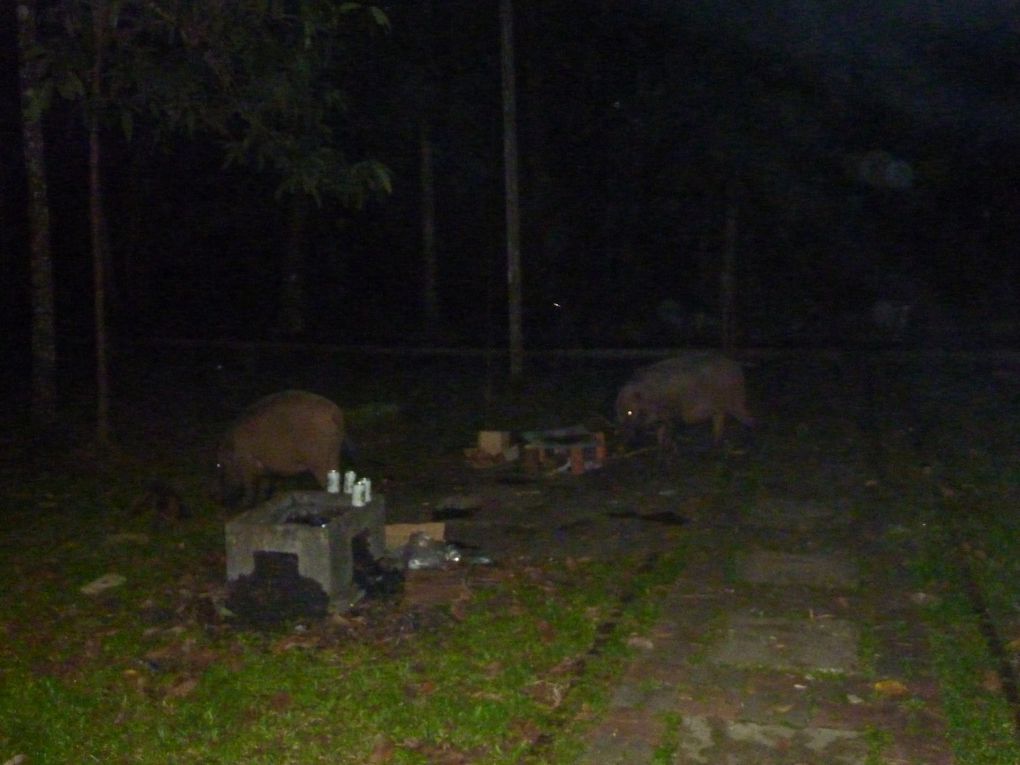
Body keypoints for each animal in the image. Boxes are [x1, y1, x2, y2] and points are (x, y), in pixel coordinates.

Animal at [214, 389, 342, 510]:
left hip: (318, 459)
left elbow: (250, 486)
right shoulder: (265, 470)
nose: (221, 502)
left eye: (219, 465)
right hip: (333, 453)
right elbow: (264, 487)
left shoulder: (246, 465)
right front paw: (262, 503)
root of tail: (334, 412)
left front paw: (244, 506)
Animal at [616, 352, 754, 448]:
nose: (624, 441)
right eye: (618, 414)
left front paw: (668, 447)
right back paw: (715, 445)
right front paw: (662, 446)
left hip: (735, 400)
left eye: (630, 412)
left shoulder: (671, 412)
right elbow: (661, 431)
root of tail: (736, 366)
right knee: (720, 419)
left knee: (746, 417)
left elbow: (668, 429)